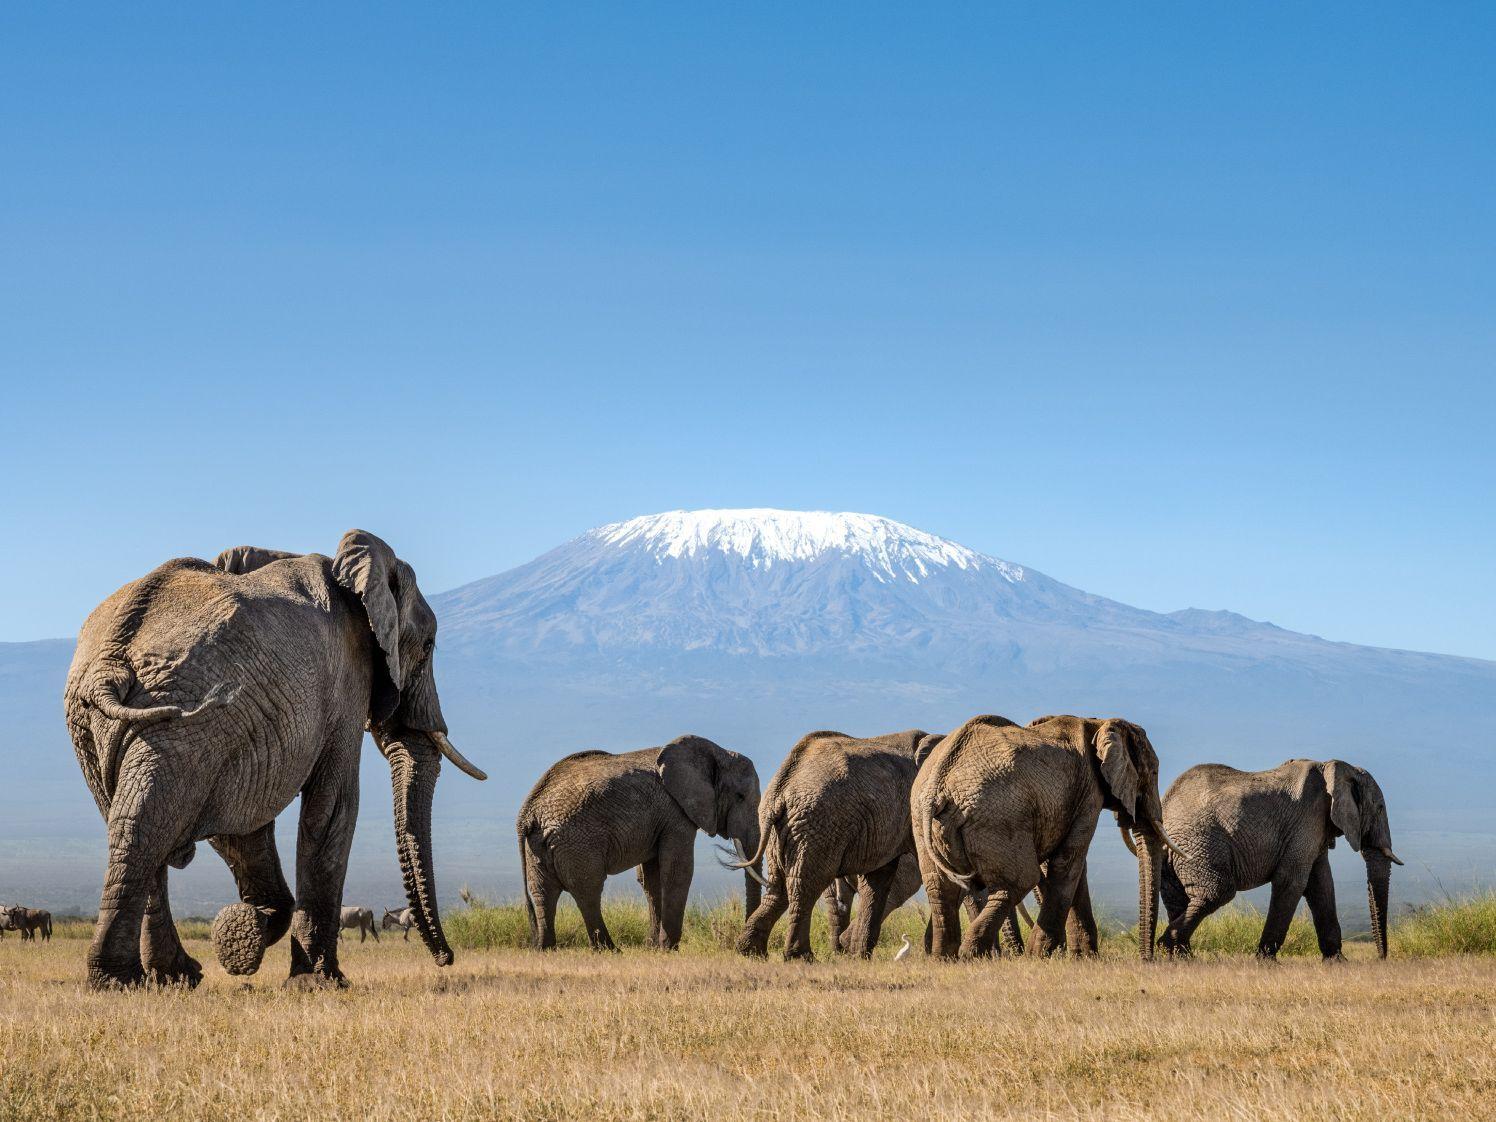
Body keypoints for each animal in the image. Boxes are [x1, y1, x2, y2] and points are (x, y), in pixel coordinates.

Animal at [63, 529, 487, 989]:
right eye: (427, 646)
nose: (446, 958)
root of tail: (111, 661)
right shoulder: (345, 679)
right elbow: (334, 805)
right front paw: (320, 982)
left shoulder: (241, 727)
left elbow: (240, 825)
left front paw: (244, 934)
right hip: (174, 718)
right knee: (146, 823)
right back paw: (125, 980)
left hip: (111, 727)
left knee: (133, 821)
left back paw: (170, 976)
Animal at [517, 735, 762, 951]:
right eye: (740, 796)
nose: (742, 946)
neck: (716, 751)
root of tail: (528, 812)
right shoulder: (675, 813)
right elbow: (678, 871)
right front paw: (668, 948)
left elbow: (651, 879)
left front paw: (653, 947)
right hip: (577, 841)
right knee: (588, 890)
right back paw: (610, 950)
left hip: (538, 845)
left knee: (543, 893)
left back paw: (545, 948)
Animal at [735, 729, 943, 960]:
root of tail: (780, 788)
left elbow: (877, 880)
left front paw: (860, 957)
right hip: (818, 824)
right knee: (806, 884)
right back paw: (801, 957)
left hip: (782, 829)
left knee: (779, 887)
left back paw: (751, 951)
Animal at [912, 714, 1181, 960]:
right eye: (1153, 772)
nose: (1147, 959)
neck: (1098, 721)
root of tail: (939, 783)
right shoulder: (1088, 794)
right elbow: (1069, 862)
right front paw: (1042, 955)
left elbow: (1074, 867)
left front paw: (1082, 957)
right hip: (998, 816)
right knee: (1019, 881)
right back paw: (972, 955)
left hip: (924, 822)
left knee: (940, 889)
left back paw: (944, 958)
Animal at [1159, 759, 1403, 960]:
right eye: (1380, 808)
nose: (1380, 958)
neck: (1335, 766)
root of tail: (1166, 805)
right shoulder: (1308, 819)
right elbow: (1292, 881)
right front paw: (1265, 961)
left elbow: (1321, 885)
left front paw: (1337, 962)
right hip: (1198, 842)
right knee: (1217, 892)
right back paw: (1166, 947)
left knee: (1177, 898)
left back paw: (1181, 956)